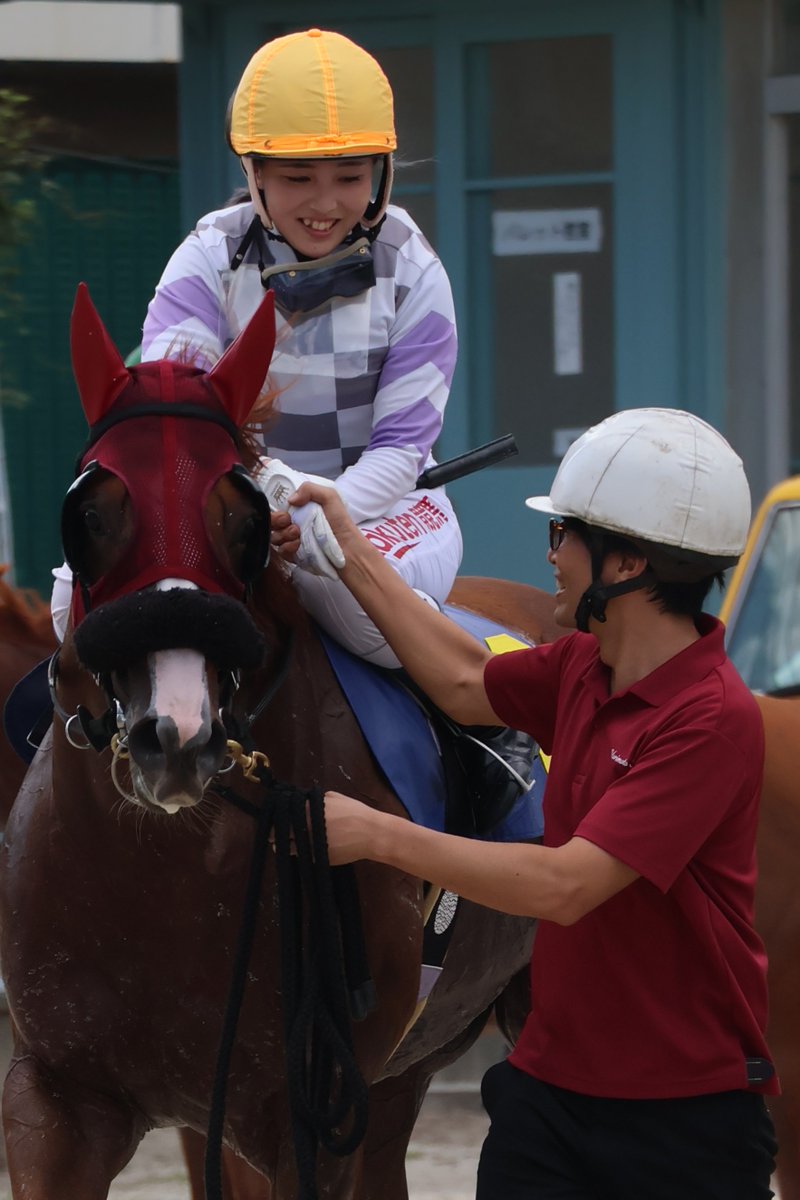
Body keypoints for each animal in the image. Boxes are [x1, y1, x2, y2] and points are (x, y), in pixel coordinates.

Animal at [0, 286, 555, 1200]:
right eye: (91, 513)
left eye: (243, 518)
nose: (175, 734)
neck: (159, 875)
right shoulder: (58, 1103)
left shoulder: (306, 1114)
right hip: (403, 1075)